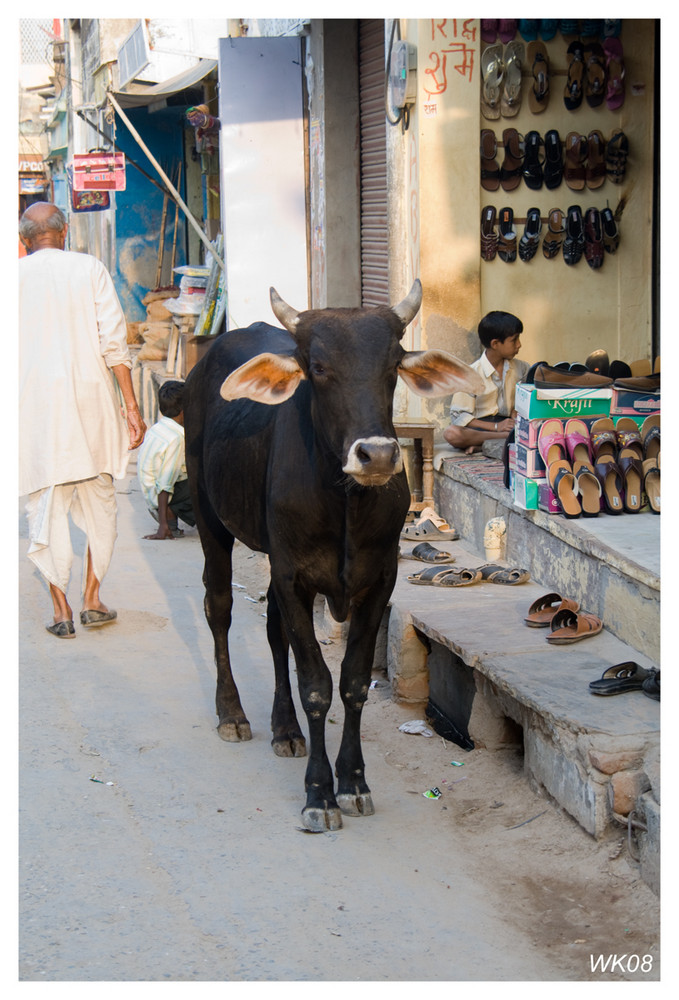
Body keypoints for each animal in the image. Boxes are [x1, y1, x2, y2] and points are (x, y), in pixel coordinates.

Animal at [183, 278, 486, 832]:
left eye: (392, 365)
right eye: (319, 367)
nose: (378, 455)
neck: (344, 502)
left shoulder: (377, 582)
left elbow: (352, 683)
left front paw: (354, 783)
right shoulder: (293, 577)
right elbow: (316, 686)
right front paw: (319, 794)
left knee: (273, 631)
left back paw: (285, 730)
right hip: (211, 519)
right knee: (219, 609)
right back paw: (232, 714)